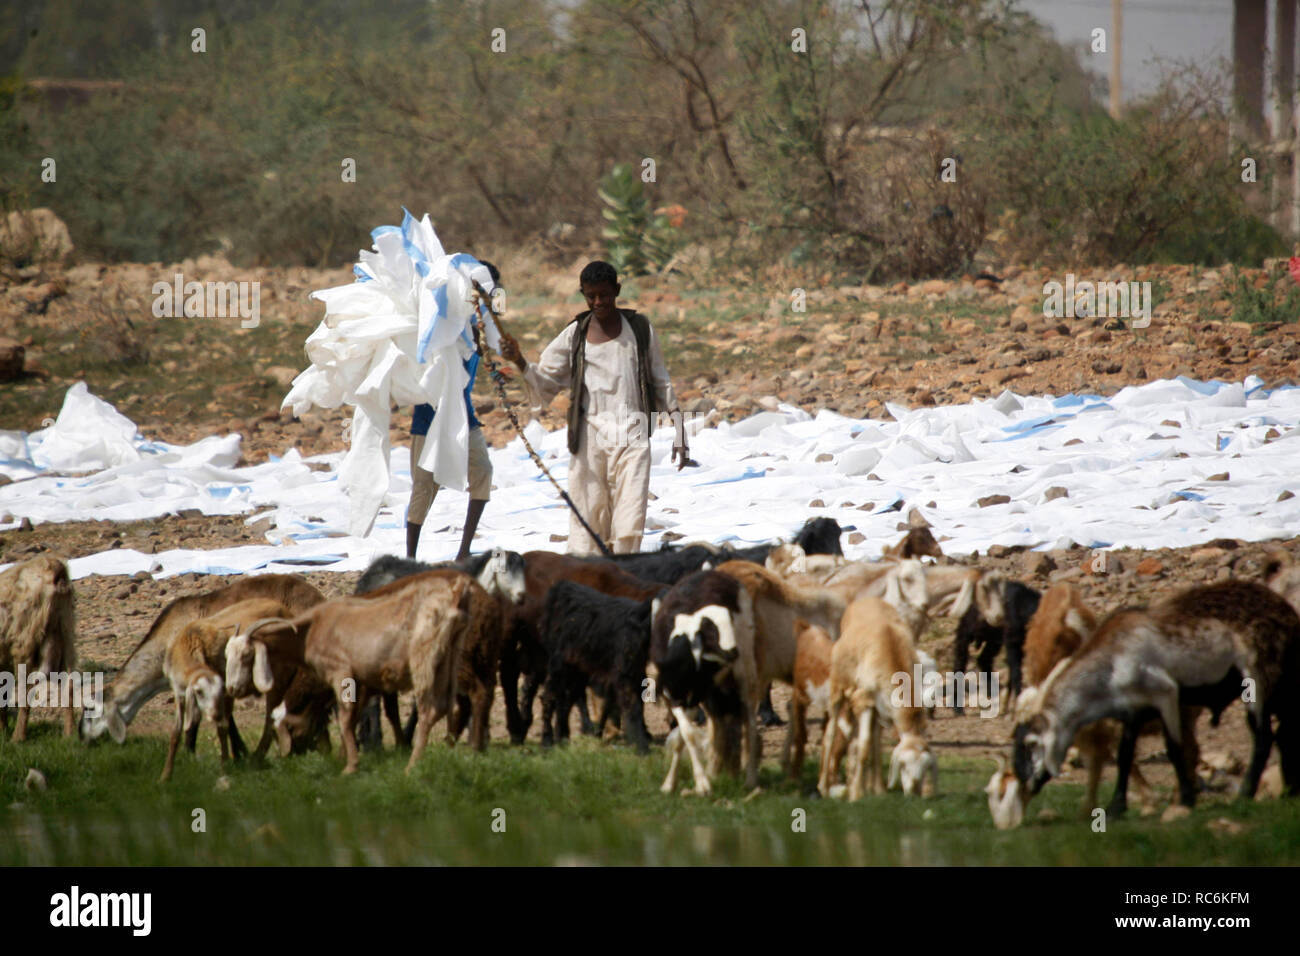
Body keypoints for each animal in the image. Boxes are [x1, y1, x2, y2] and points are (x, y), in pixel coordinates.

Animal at [538, 582, 655, 754]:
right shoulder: (624, 673)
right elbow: (633, 706)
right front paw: (642, 747)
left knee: (566, 700)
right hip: (559, 665)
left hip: (577, 671)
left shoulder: (634, 671)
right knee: (549, 697)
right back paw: (547, 741)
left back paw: (563, 739)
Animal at [821, 598, 935, 801]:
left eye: (924, 769)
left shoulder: (881, 709)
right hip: (837, 689)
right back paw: (824, 787)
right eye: (904, 767)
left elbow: (874, 747)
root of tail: (865, 600)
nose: (913, 794)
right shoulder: (864, 701)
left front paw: (876, 790)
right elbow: (865, 748)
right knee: (830, 735)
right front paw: (856, 795)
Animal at [1013, 574, 1300, 816]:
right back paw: (1289, 792)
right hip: (1282, 689)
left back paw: (1245, 793)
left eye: (1030, 743)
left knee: (1263, 738)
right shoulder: (1133, 711)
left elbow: (1174, 749)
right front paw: (1117, 806)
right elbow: (1125, 755)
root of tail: (1285, 612)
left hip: (1259, 680)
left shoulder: (1166, 696)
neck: (1109, 665)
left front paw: (1186, 799)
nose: (1025, 787)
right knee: (1286, 735)